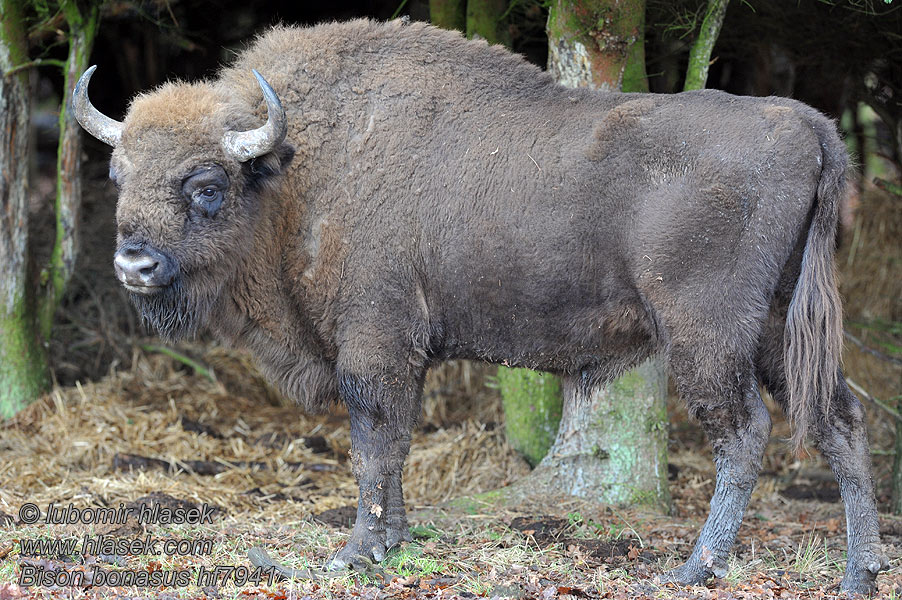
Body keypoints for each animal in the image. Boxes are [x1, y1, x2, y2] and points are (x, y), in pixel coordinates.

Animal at [76, 17, 888, 592]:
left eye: (207, 185)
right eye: (120, 173)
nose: (134, 264)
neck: (295, 172)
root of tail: (807, 125)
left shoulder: (373, 346)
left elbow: (373, 446)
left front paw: (356, 553)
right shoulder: (401, 357)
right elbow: (395, 447)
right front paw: (392, 544)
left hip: (708, 335)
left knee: (745, 431)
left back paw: (695, 568)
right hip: (780, 328)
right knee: (840, 418)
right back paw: (860, 573)